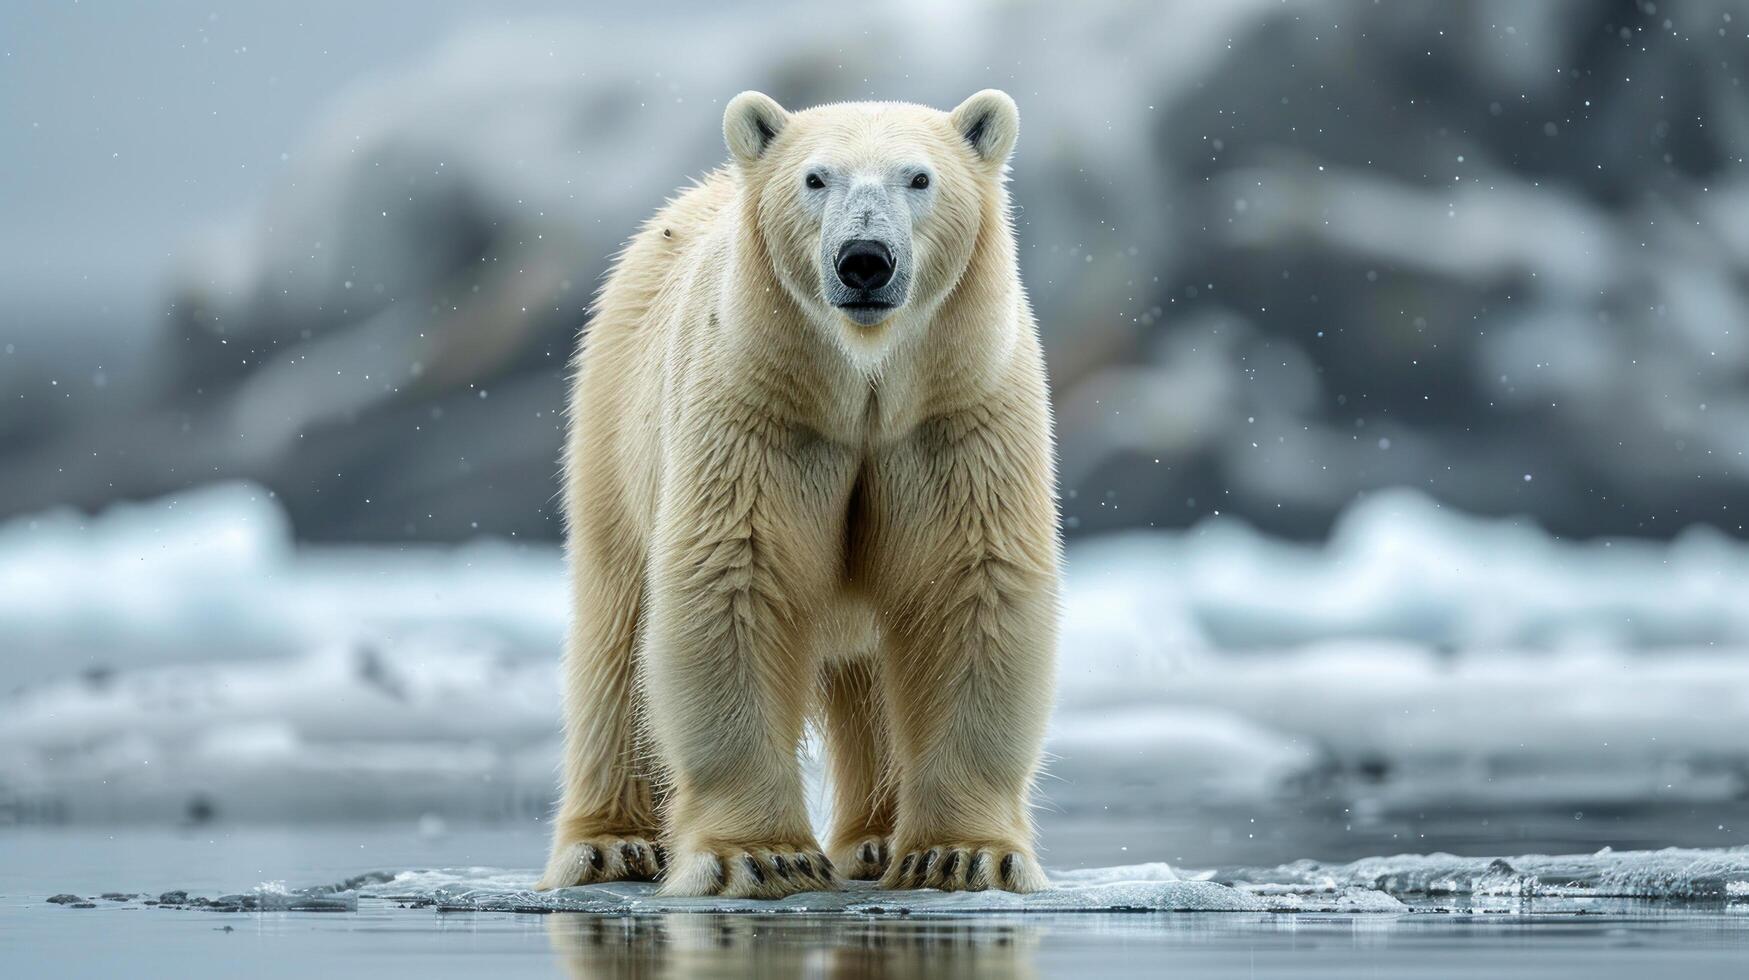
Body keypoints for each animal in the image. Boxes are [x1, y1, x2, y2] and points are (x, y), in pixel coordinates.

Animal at [531, 90, 1056, 896]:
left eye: (918, 177)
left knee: (870, 671)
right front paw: (761, 856)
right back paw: (612, 845)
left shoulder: (956, 411)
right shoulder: (759, 409)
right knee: (614, 633)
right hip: (615, 424)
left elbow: (971, 585)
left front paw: (962, 856)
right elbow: (735, 582)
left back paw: (875, 839)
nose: (864, 260)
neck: (862, 380)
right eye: (815, 178)